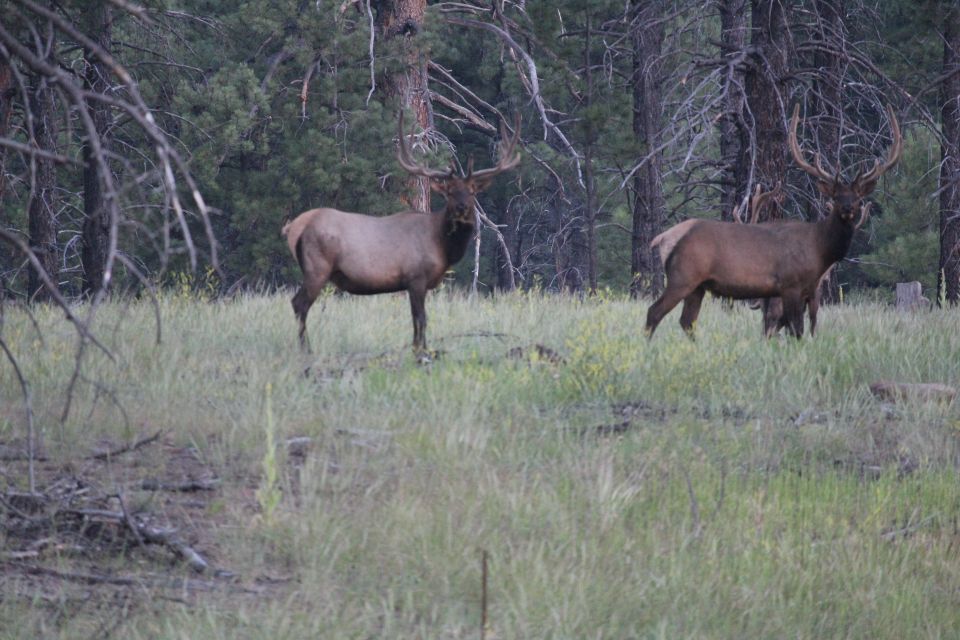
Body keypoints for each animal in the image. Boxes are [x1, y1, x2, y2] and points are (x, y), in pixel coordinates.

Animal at [282, 112, 521, 359]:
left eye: (472, 191)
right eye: (450, 192)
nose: (461, 208)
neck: (442, 246)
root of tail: (294, 228)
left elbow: (417, 319)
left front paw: (419, 350)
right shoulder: (415, 277)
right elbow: (421, 318)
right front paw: (421, 353)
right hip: (317, 266)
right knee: (299, 303)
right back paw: (307, 350)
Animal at [646, 103, 901, 339]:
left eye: (858, 198)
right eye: (836, 196)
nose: (847, 208)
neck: (819, 249)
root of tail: (662, 238)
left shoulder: (808, 290)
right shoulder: (790, 285)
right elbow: (796, 330)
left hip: (697, 286)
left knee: (687, 321)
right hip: (682, 276)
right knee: (654, 312)